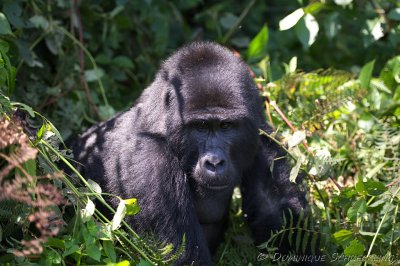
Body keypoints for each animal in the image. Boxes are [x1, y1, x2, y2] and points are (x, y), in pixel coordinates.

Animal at [73, 41, 306, 264]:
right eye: (201, 126)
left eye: (226, 126)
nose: (214, 162)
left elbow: (281, 218)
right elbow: (183, 254)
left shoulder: (262, 136)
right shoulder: (151, 160)